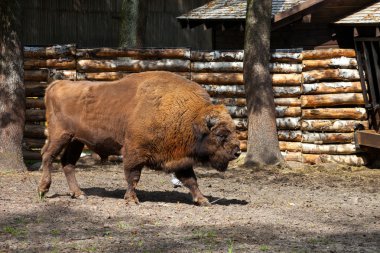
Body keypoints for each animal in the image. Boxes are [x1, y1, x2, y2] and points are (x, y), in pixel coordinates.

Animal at [38, 71, 240, 206]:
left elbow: (191, 180)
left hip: (76, 141)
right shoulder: (135, 152)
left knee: (68, 163)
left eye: (234, 129)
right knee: (47, 156)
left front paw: (202, 199)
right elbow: (133, 176)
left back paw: (79, 194)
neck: (190, 116)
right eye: (221, 134)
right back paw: (43, 189)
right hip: (60, 136)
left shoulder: (181, 159)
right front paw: (132, 199)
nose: (237, 151)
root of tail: (56, 85)